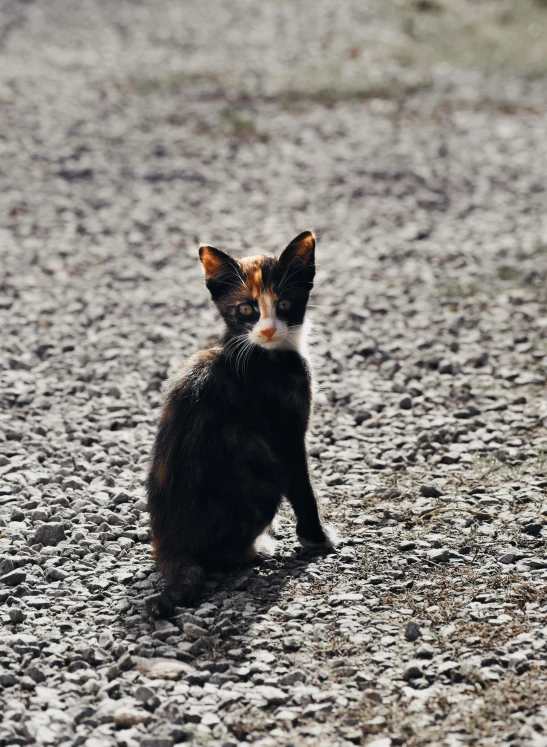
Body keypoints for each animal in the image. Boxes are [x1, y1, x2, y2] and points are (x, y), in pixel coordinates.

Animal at [148, 231, 336, 616]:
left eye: (285, 303)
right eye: (246, 309)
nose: (267, 329)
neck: (262, 352)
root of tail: (171, 548)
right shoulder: (285, 431)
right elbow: (303, 486)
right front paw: (317, 538)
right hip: (263, 470)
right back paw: (256, 549)